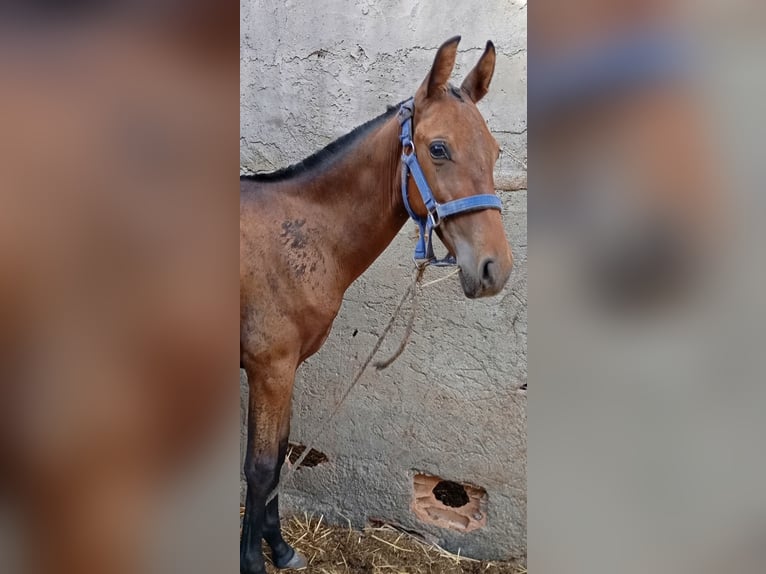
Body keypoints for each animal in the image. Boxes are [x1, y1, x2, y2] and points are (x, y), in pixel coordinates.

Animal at [240, 37, 516, 574]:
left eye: (495, 150)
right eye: (438, 148)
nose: (495, 268)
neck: (301, 234)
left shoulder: (285, 369)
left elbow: (279, 453)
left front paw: (280, 549)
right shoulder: (268, 368)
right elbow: (260, 469)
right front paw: (252, 562)